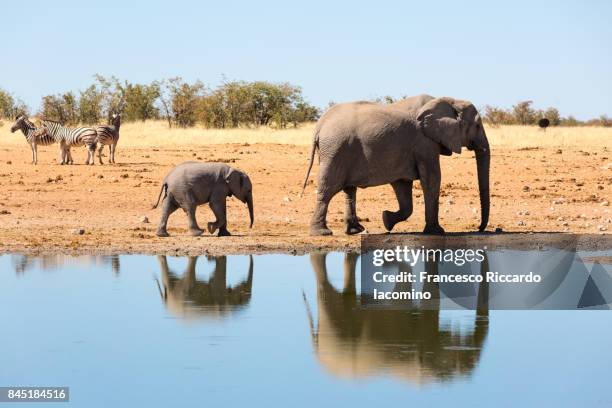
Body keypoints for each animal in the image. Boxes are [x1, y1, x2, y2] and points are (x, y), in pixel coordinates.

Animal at [302, 96, 492, 236]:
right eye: (477, 125)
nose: (480, 229)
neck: (450, 100)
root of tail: (320, 125)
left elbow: (403, 187)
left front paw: (386, 220)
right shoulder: (424, 143)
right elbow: (432, 179)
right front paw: (437, 232)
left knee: (349, 190)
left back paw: (355, 231)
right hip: (335, 150)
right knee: (327, 189)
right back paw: (322, 233)